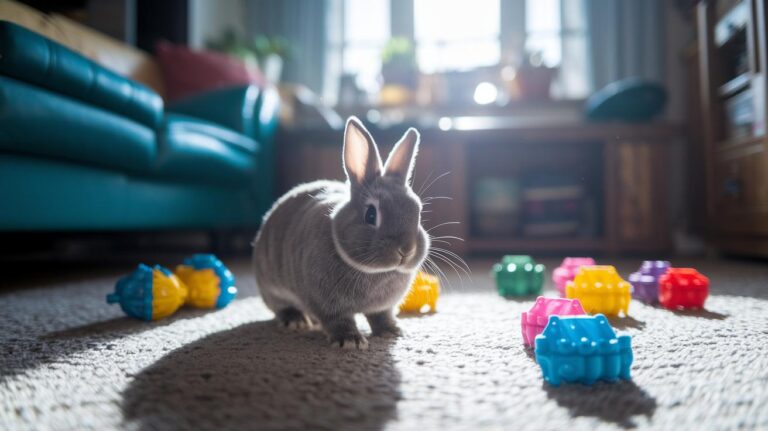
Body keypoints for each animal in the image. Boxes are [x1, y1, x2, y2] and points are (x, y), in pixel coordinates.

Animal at [253, 116, 429, 349]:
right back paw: (295, 320)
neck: (374, 272)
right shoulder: (328, 305)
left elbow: (381, 316)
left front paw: (391, 332)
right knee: (279, 306)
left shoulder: (382, 307)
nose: (406, 250)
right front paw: (350, 340)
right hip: (272, 285)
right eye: (371, 215)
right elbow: (339, 320)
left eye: (418, 211)